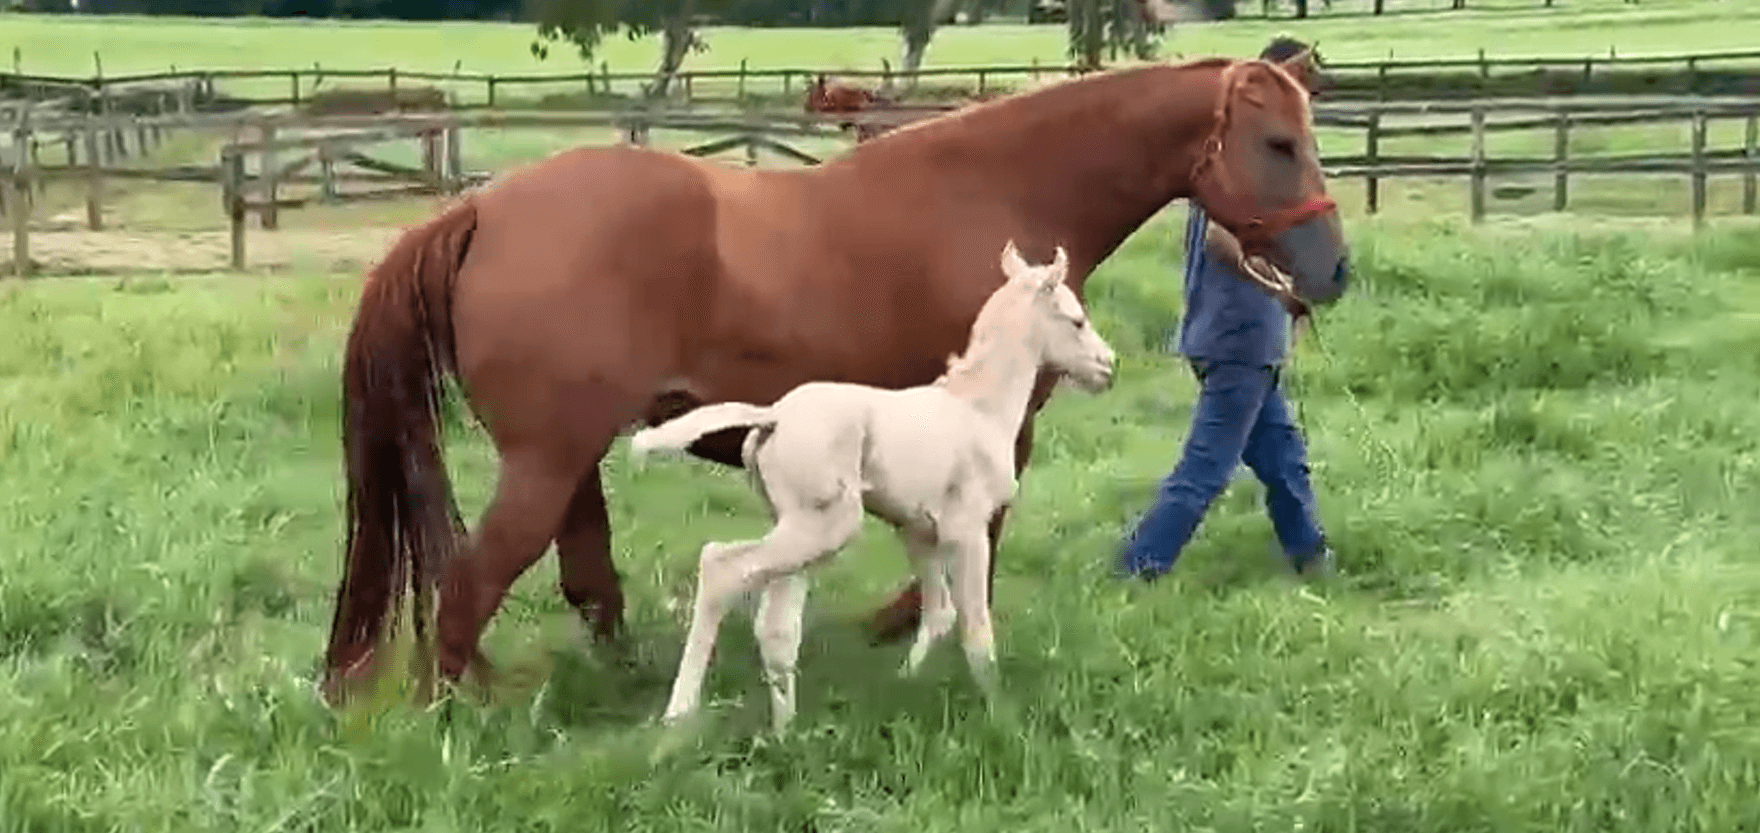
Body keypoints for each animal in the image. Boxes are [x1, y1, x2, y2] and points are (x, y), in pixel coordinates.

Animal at [626, 239, 1112, 732]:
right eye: (1077, 320)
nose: (1108, 366)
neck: (979, 408)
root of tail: (773, 416)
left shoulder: (917, 529)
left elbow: (939, 611)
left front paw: (907, 680)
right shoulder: (968, 530)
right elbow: (975, 627)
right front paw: (999, 713)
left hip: (799, 526)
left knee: (777, 623)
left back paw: (785, 731)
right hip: (826, 525)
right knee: (721, 567)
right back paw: (680, 715)